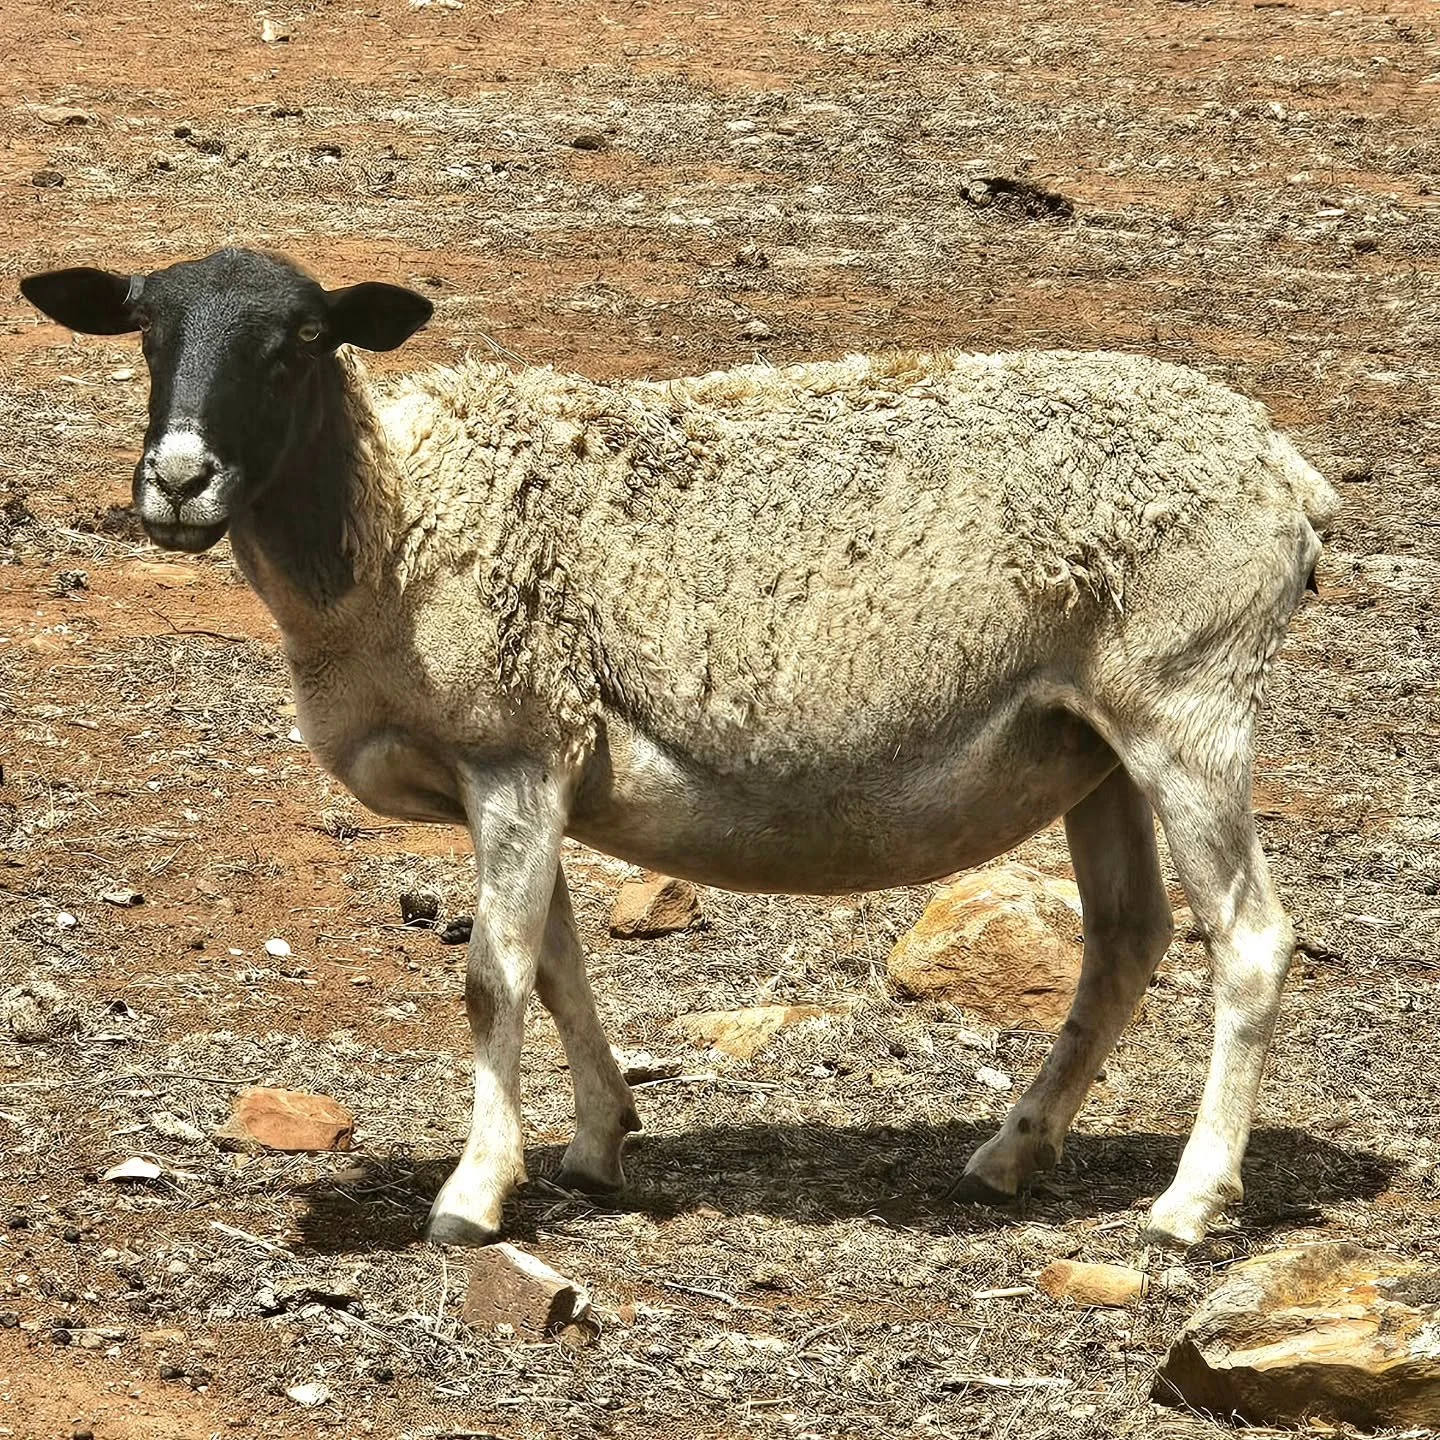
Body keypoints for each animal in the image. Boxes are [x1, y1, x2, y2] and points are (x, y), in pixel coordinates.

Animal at [20, 247, 1338, 1249]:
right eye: (145, 331)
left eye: (299, 339)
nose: (179, 481)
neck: (396, 519)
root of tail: (1283, 464)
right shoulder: (536, 766)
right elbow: (554, 964)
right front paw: (599, 1143)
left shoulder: (514, 749)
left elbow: (491, 978)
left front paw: (471, 1196)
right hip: (1089, 738)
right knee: (1125, 940)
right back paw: (1013, 1153)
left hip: (1189, 701)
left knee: (1250, 940)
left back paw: (1187, 1204)